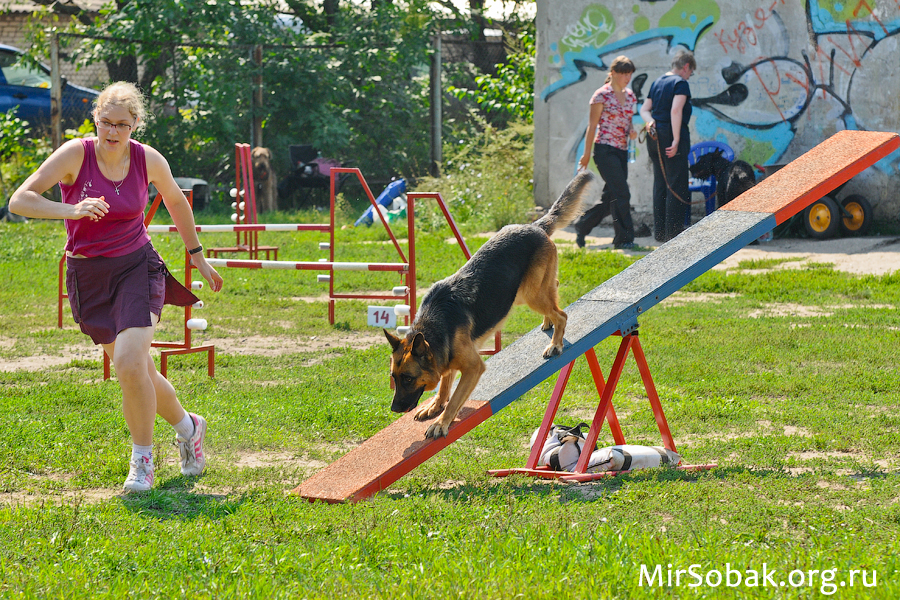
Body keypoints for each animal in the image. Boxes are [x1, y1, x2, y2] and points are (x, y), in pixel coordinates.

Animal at [382, 171, 596, 438]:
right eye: (393, 377)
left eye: (408, 379)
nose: (394, 409)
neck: (434, 325)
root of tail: (534, 225)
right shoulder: (449, 360)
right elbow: (444, 386)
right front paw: (435, 405)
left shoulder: (473, 368)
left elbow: (454, 400)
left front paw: (441, 422)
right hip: (527, 292)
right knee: (554, 291)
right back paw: (548, 322)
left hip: (530, 295)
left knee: (562, 315)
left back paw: (555, 344)